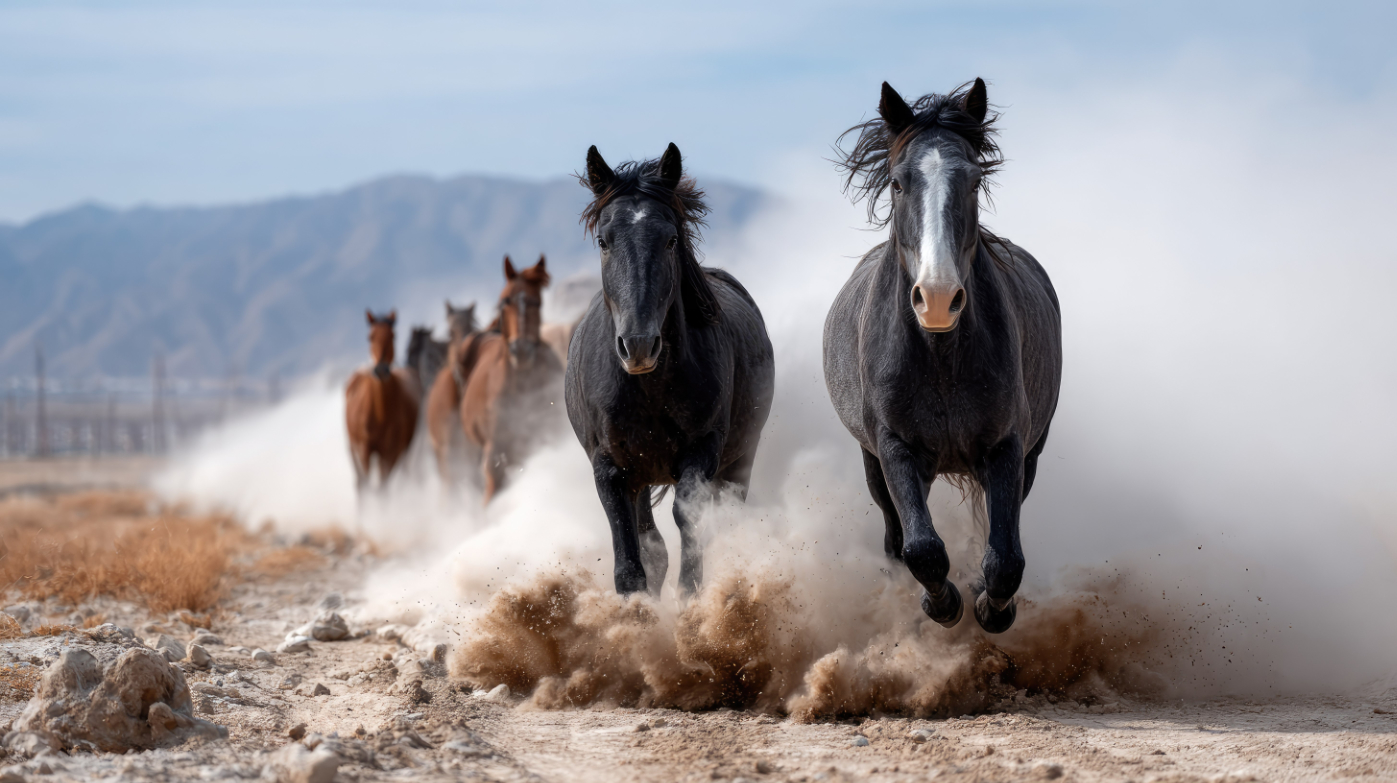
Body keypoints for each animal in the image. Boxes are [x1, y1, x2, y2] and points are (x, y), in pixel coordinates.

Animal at [345, 310, 422, 492]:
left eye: (393, 336)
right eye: (370, 337)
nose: (380, 369)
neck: (379, 415)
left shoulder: (391, 453)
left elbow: (382, 489)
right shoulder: (364, 449)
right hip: (353, 448)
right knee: (361, 483)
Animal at [566, 143, 775, 598]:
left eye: (670, 239)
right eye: (604, 241)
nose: (639, 345)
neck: (650, 388)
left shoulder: (704, 449)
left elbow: (688, 517)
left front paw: (690, 601)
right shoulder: (609, 467)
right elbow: (633, 556)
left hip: (741, 457)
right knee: (651, 541)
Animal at [823, 79, 1062, 634]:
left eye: (974, 182)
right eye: (897, 183)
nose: (936, 298)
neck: (940, 359)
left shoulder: (1008, 446)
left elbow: (1005, 558)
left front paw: (989, 607)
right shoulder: (893, 448)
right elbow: (922, 549)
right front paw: (943, 604)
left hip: (1029, 455)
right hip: (877, 463)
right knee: (896, 537)